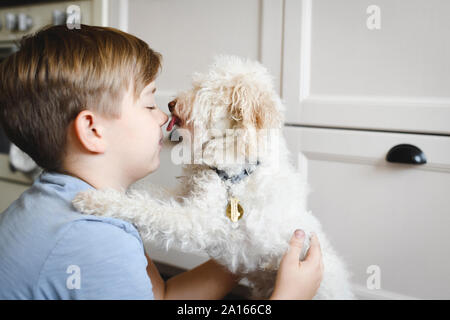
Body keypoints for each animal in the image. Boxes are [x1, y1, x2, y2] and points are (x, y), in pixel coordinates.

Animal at [73, 55, 356, 300]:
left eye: (205, 91)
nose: (171, 103)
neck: (234, 173)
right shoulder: (185, 195)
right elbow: (147, 194)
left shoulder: (196, 220)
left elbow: (150, 210)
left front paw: (95, 200)